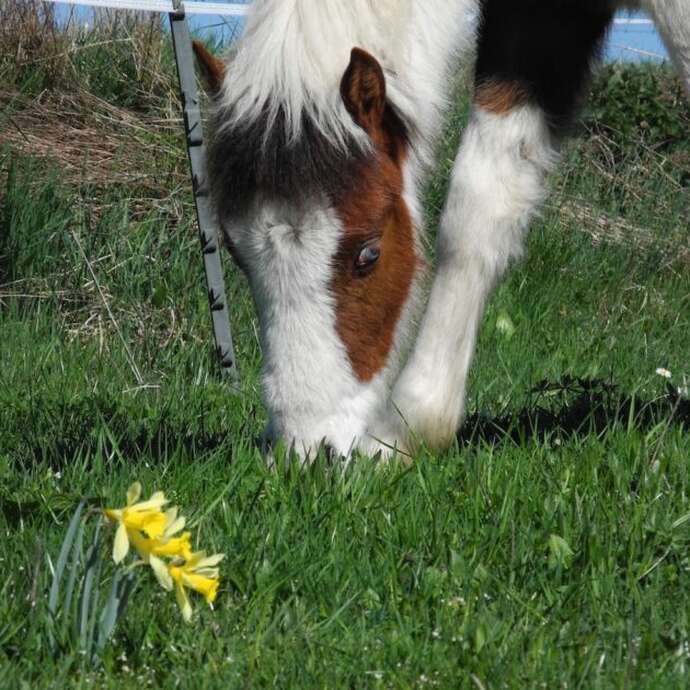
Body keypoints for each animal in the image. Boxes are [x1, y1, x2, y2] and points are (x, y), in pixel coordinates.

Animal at [192, 0, 690, 460]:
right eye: (236, 254)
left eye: (368, 254)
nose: (308, 451)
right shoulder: (541, 18)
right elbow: (482, 201)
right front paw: (408, 431)